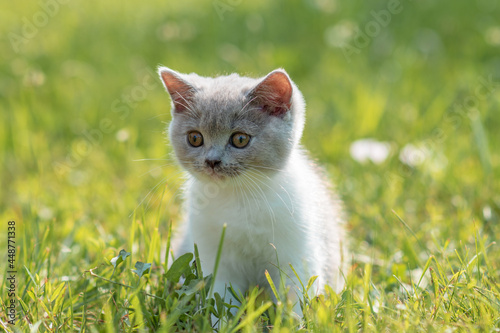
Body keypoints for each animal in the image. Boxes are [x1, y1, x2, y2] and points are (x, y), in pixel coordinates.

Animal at [158, 67, 346, 312]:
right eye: (195, 138)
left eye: (240, 139)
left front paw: (293, 318)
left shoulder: (298, 252)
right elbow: (220, 298)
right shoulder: (213, 255)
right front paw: (221, 319)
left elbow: (296, 294)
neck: (239, 196)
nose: (212, 161)